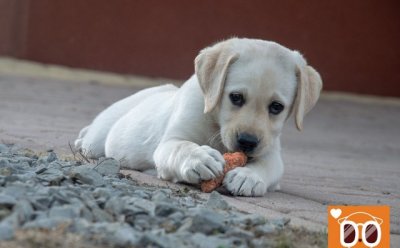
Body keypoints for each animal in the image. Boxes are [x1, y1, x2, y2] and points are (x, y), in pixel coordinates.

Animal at [75, 38, 322, 196]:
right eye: (236, 97)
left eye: (276, 107)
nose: (247, 142)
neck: (216, 123)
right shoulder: (170, 142)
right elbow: (181, 147)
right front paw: (199, 158)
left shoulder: (271, 151)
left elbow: (267, 166)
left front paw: (248, 177)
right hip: (98, 139)